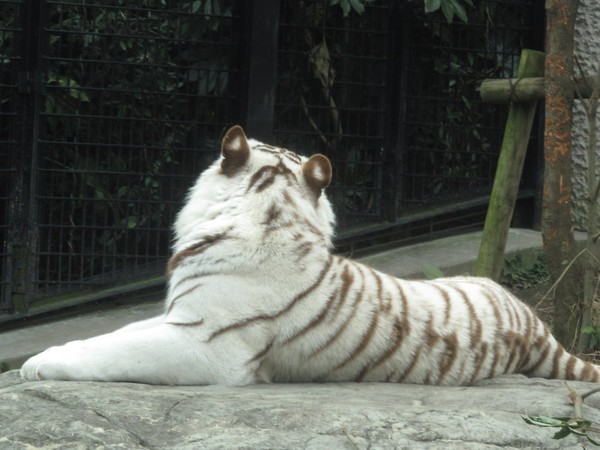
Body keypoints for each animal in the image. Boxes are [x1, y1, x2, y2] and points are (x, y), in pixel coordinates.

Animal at [21, 127, 600, 386]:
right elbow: (115, 334)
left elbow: (118, 352)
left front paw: (36, 364)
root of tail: (538, 327)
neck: (270, 210)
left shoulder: (206, 344)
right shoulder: (180, 314)